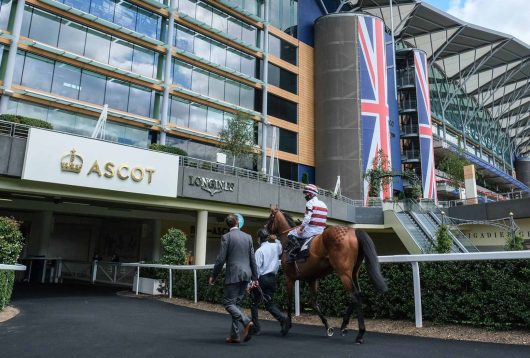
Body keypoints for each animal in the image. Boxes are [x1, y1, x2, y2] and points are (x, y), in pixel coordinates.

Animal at [266, 208, 386, 342]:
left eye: (270, 218)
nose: (263, 230)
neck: (288, 243)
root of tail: (353, 231)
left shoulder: (289, 278)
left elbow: (289, 302)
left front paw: (286, 327)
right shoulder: (312, 279)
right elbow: (313, 303)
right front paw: (328, 327)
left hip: (343, 273)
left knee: (354, 296)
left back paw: (360, 333)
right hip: (354, 272)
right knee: (359, 294)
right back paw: (344, 326)